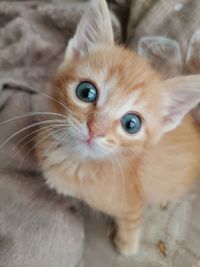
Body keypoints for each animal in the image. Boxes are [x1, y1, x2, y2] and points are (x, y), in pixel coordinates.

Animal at [36, 0, 200, 256]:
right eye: (86, 92)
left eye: (131, 124)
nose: (95, 130)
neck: (79, 162)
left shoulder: (132, 203)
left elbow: (132, 221)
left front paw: (127, 247)